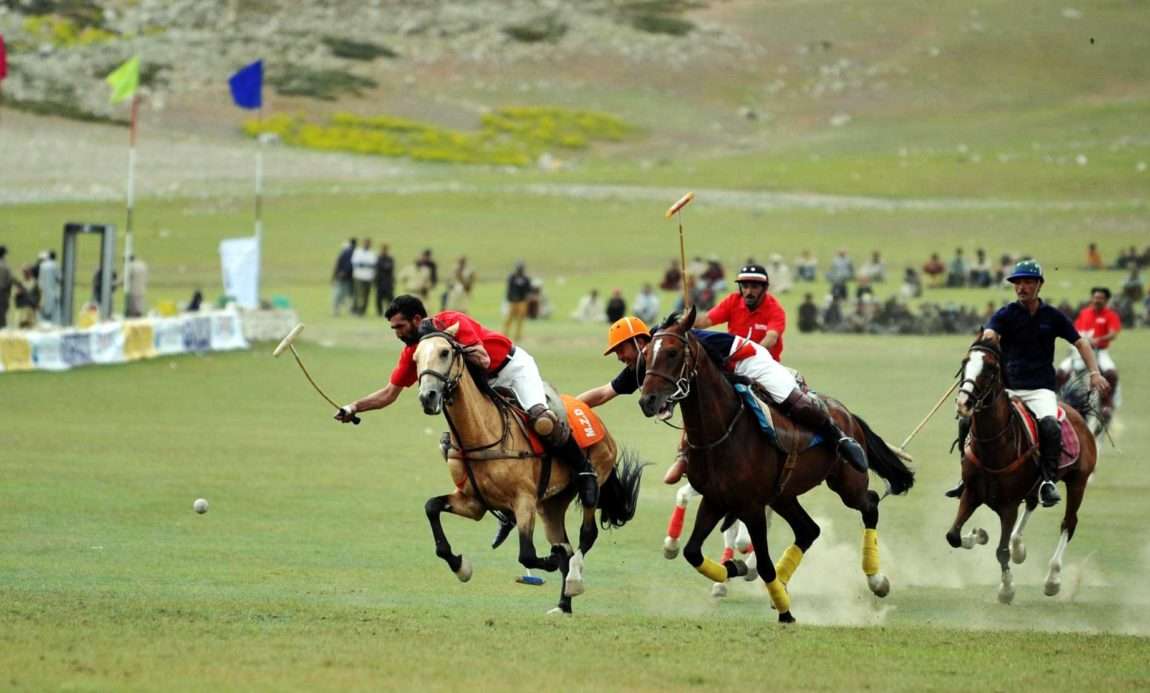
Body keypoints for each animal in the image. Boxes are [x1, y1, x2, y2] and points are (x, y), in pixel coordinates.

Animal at [414, 321, 648, 616]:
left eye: (445, 352)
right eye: (415, 359)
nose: (428, 396)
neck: (479, 434)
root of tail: (590, 413)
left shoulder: (523, 500)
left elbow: (527, 554)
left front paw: (550, 560)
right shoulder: (472, 502)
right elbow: (431, 506)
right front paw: (460, 566)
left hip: (593, 476)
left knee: (586, 531)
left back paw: (574, 579)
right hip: (551, 504)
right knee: (565, 543)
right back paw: (563, 605)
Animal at [634, 308, 910, 625]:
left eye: (672, 352)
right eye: (646, 354)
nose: (648, 400)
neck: (722, 431)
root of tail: (847, 413)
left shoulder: (752, 506)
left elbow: (763, 563)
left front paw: (785, 612)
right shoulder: (715, 499)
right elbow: (693, 552)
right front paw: (735, 569)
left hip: (847, 484)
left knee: (870, 504)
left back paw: (876, 580)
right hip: (783, 496)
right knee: (808, 530)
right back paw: (782, 581)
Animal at [947, 335, 1099, 602]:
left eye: (990, 368)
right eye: (966, 362)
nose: (963, 403)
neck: (993, 445)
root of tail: (1075, 411)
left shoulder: (1008, 506)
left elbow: (1001, 550)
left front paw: (1007, 589)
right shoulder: (971, 494)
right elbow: (953, 536)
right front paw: (979, 535)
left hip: (1078, 481)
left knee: (1068, 523)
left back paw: (1052, 580)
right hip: (1035, 485)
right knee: (1032, 503)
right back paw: (1020, 548)